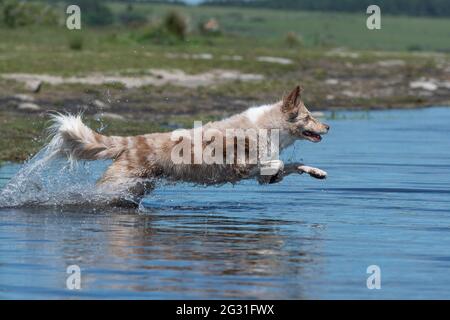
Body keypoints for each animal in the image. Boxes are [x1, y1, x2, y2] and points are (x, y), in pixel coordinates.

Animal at [49, 85, 328, 205]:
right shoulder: (242, 164)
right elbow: (278, 162)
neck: (269, 127)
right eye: (308, 117)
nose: (328, 127)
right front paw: (277, 172)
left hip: (137, 186)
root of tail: (129, 141)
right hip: (118, 184)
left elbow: (293, 164)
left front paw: (316, 172)